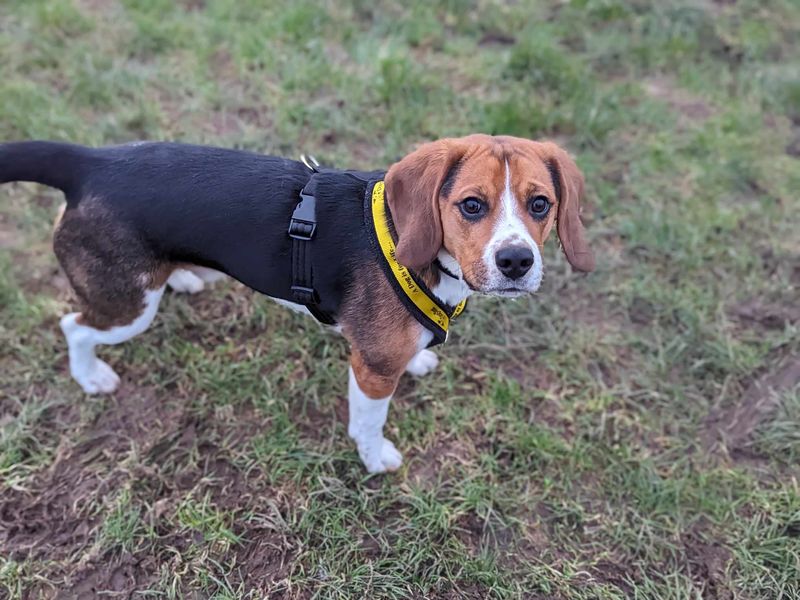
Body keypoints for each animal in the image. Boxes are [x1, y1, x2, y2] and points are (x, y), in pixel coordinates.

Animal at [1, 136, 592, 474]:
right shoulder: (372, 371)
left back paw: (186, 277)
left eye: (541, 204)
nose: (517, 261)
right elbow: (368, 423)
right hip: (127, 306)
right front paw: (375, 461)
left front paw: (421, 358)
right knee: (73, 325)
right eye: (471, 206)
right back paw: (90, 375)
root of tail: (90, 162)